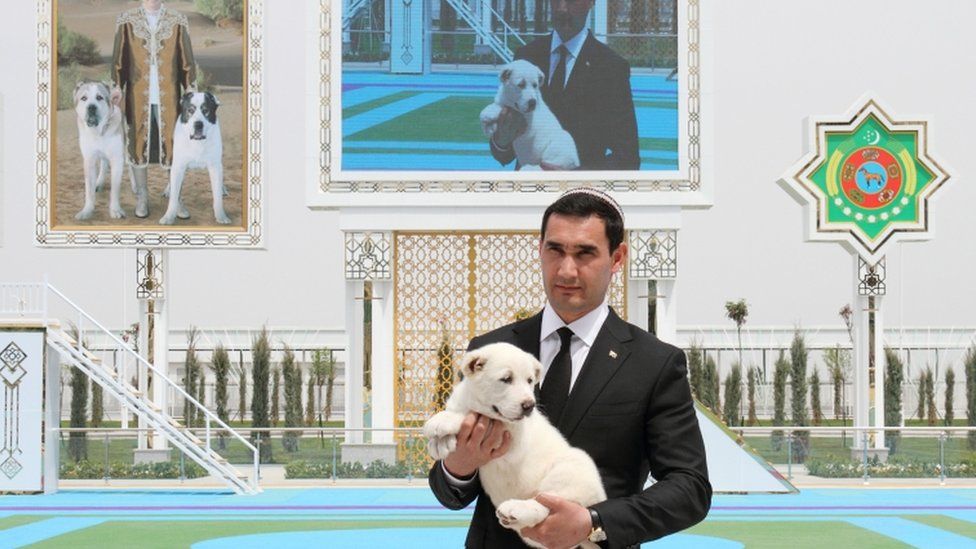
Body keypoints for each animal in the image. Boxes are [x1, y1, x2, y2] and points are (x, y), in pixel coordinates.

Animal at [73, 79, 127, 220]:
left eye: (99, 97)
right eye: (84, 98)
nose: (91, 107)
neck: (99, 132)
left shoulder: (117, 160)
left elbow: (115, 189)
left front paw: (115, 210)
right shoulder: (89, 160)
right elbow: (89, 190)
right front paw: (87, 211)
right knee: (103, 165)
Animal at [164, 91, 233, 224]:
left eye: (206, 110)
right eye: (190, 110)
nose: (198, 124)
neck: (198, 142)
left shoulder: (215, 166)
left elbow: (217, 196)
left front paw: (221, 216)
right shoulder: (178, 166)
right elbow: (174, 197)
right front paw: (168, 217)